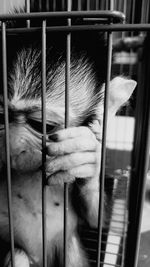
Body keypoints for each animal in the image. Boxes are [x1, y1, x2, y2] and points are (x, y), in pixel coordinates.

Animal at [0, 2, 137, 267]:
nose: (11, 145)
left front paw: (86, 158)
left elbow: (96, 220)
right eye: (1, 115)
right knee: (17, 254)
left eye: (42, 125)